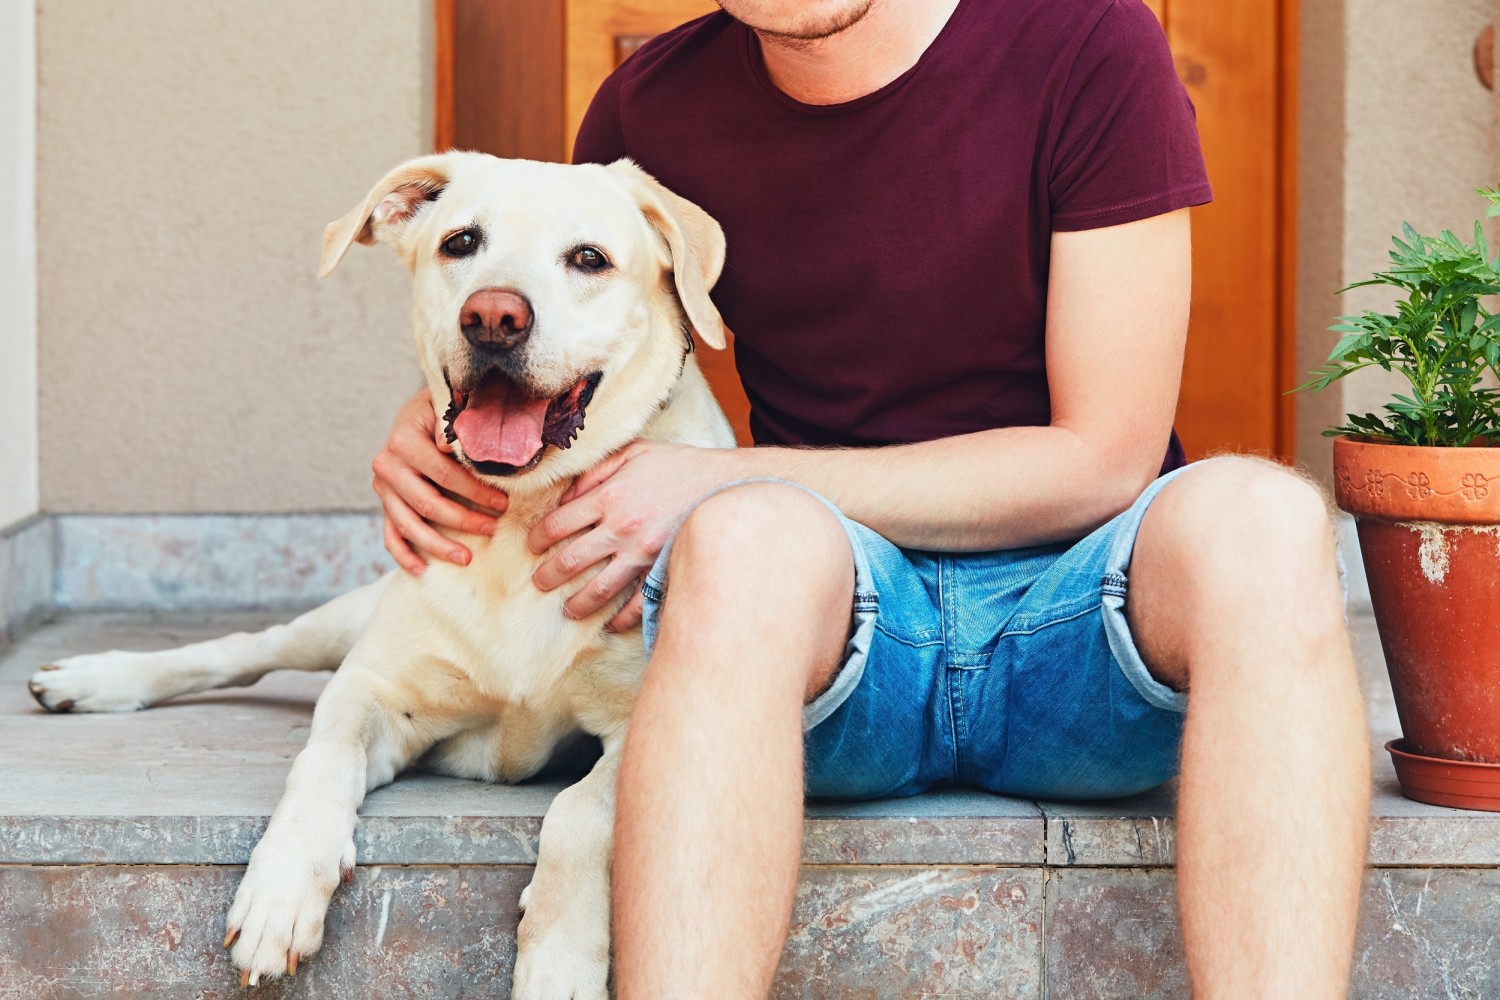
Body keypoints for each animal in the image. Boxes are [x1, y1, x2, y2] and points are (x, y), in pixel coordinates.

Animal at [27, 152, 738, 995]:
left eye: (589, 258)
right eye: (461, 242)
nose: (492, 317)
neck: (518, 520)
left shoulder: (646, 727)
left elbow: (581, 813)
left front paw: (559, 961)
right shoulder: (373, 692)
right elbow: (320, 761)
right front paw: (280, 892)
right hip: (337, 622)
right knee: (239, 652)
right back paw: (98, 678)